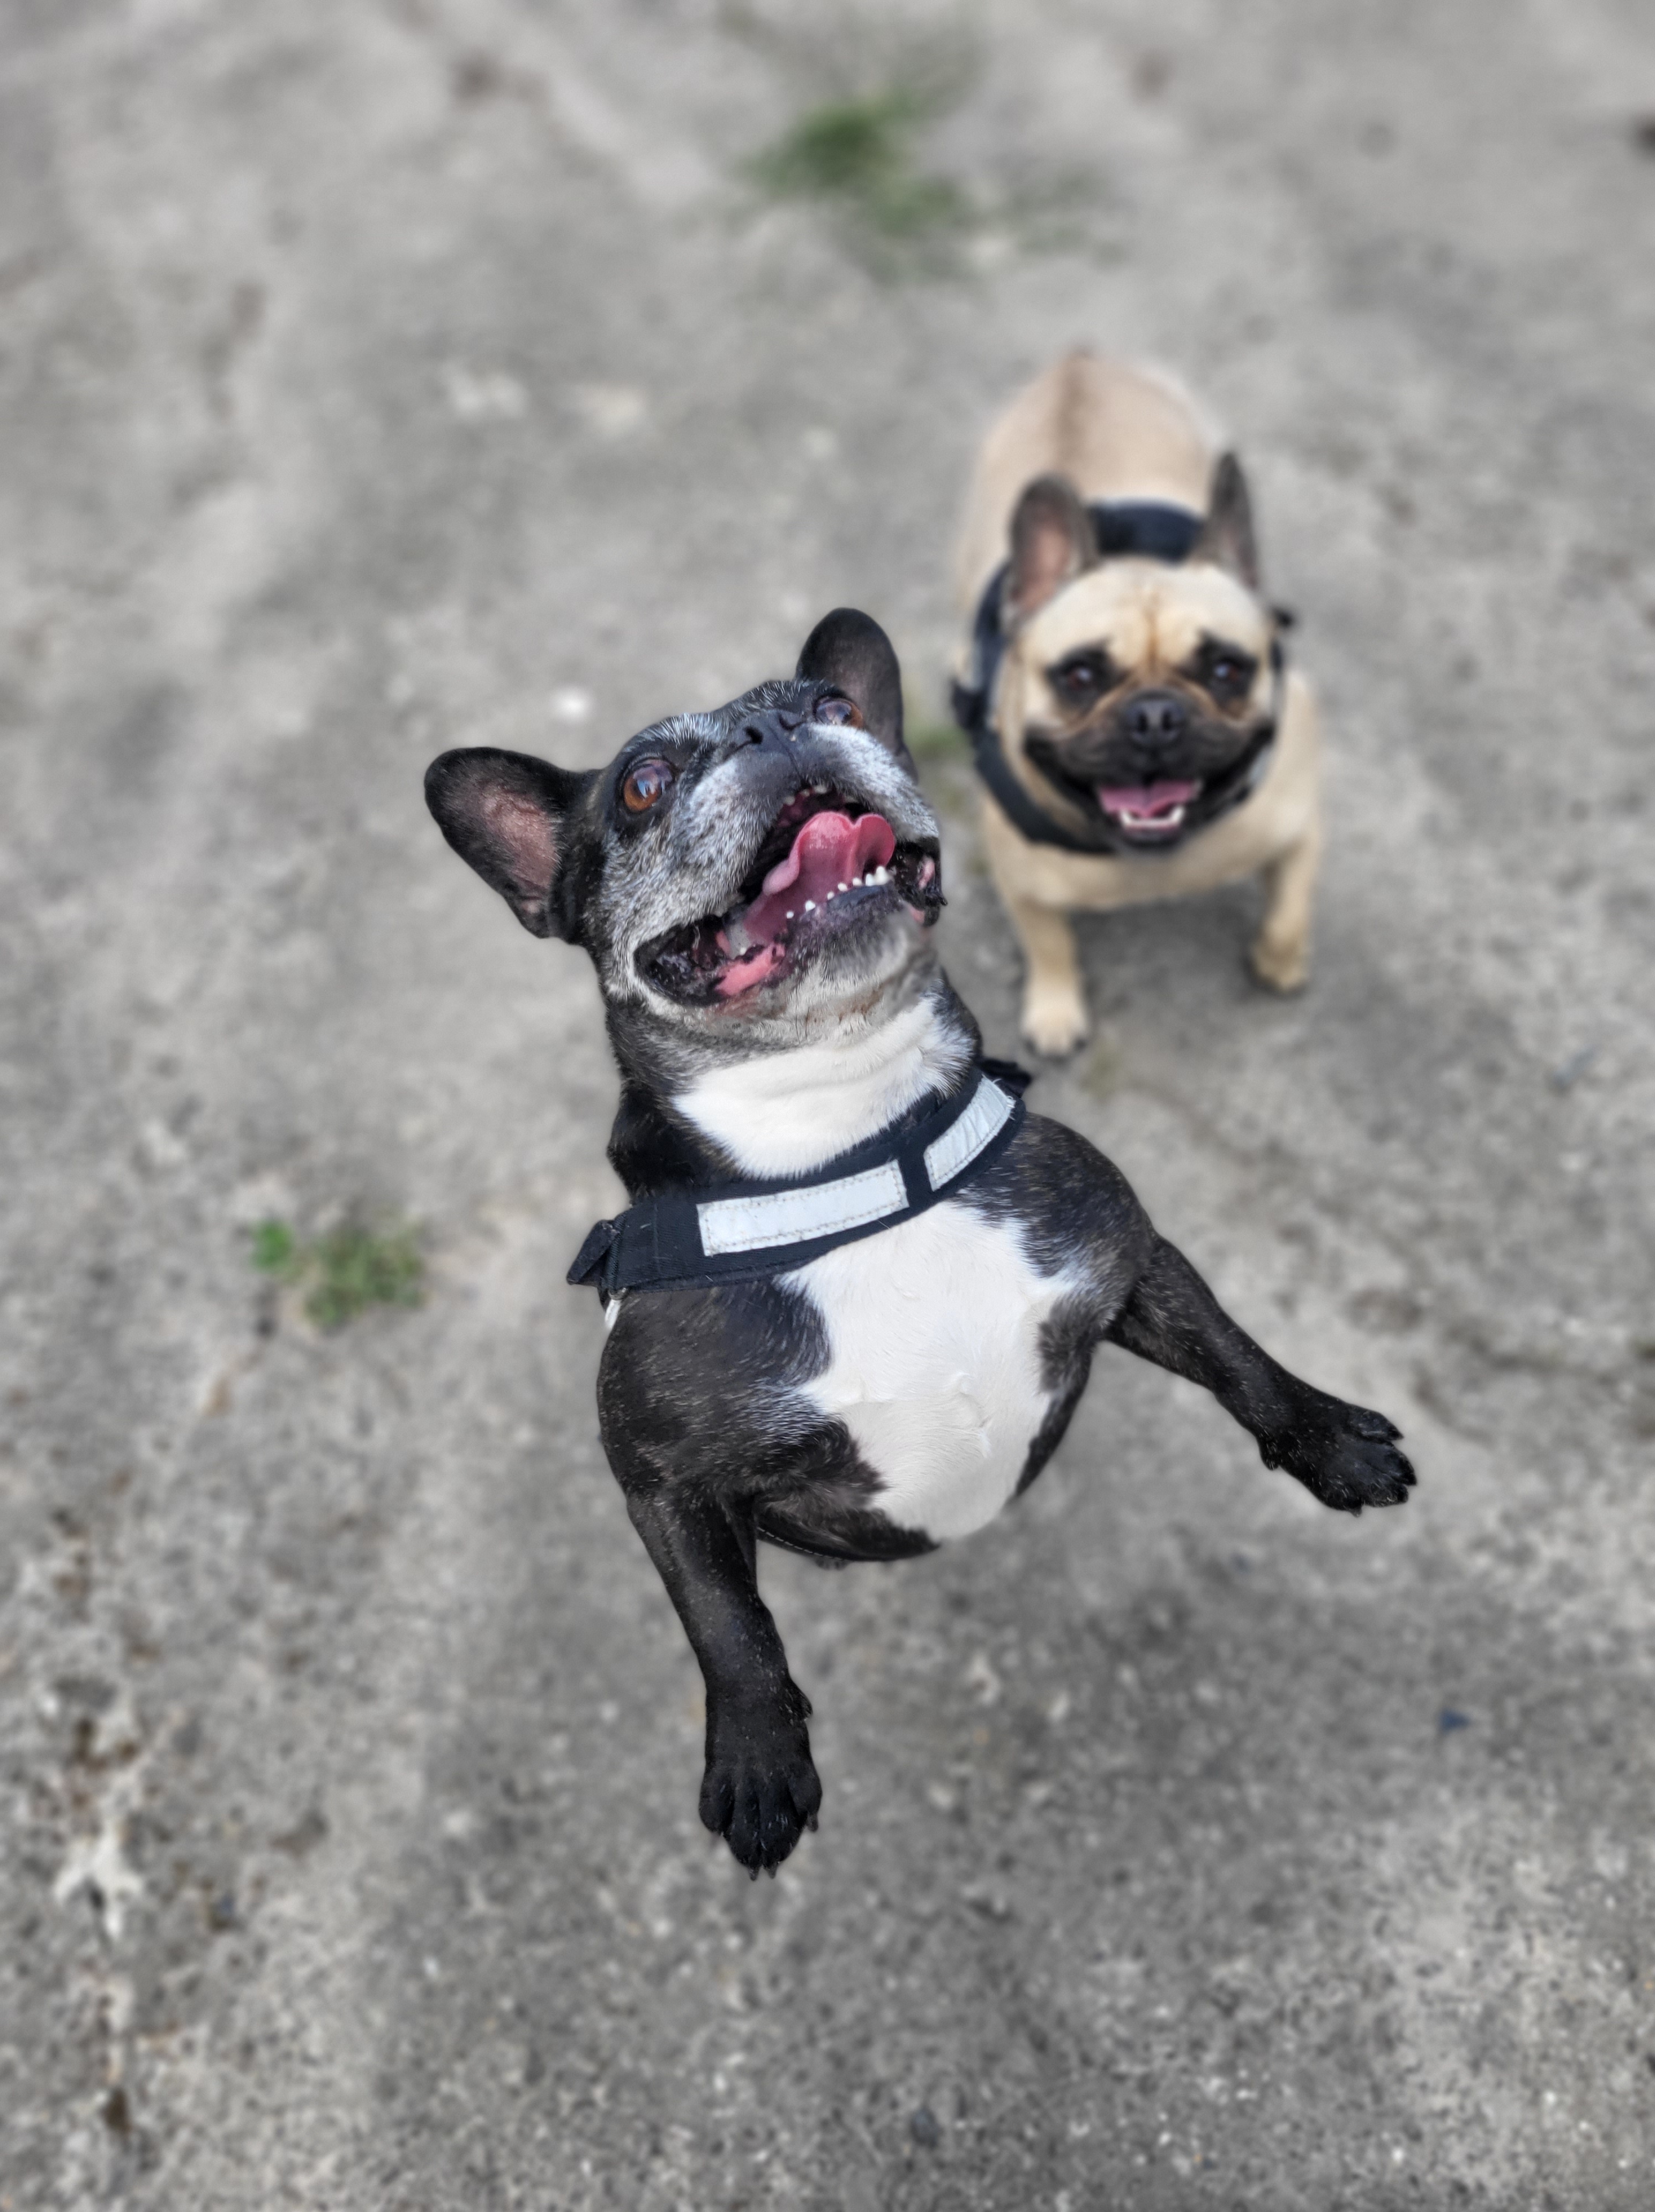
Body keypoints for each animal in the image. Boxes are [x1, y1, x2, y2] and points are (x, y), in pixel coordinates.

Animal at [425, 608, 1412, 1876]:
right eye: (642, 784)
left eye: (837, 708)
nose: (779, 728)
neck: (851, 1149)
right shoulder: (660, 1477)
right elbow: (726, 1623)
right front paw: (758, 1760)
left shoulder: (1123, 1257)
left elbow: (1240, 1358)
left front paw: (1330, 1441)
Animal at [953, 352, 1322, 1056]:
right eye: (1080, 676)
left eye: (1227, 669)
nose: (1155, 716)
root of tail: (1080, 360)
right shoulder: (1022, 885)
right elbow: (1050, 944)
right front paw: (1056, 1011)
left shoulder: (1299, 823)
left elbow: (1290, 910)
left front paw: (1279, 963)